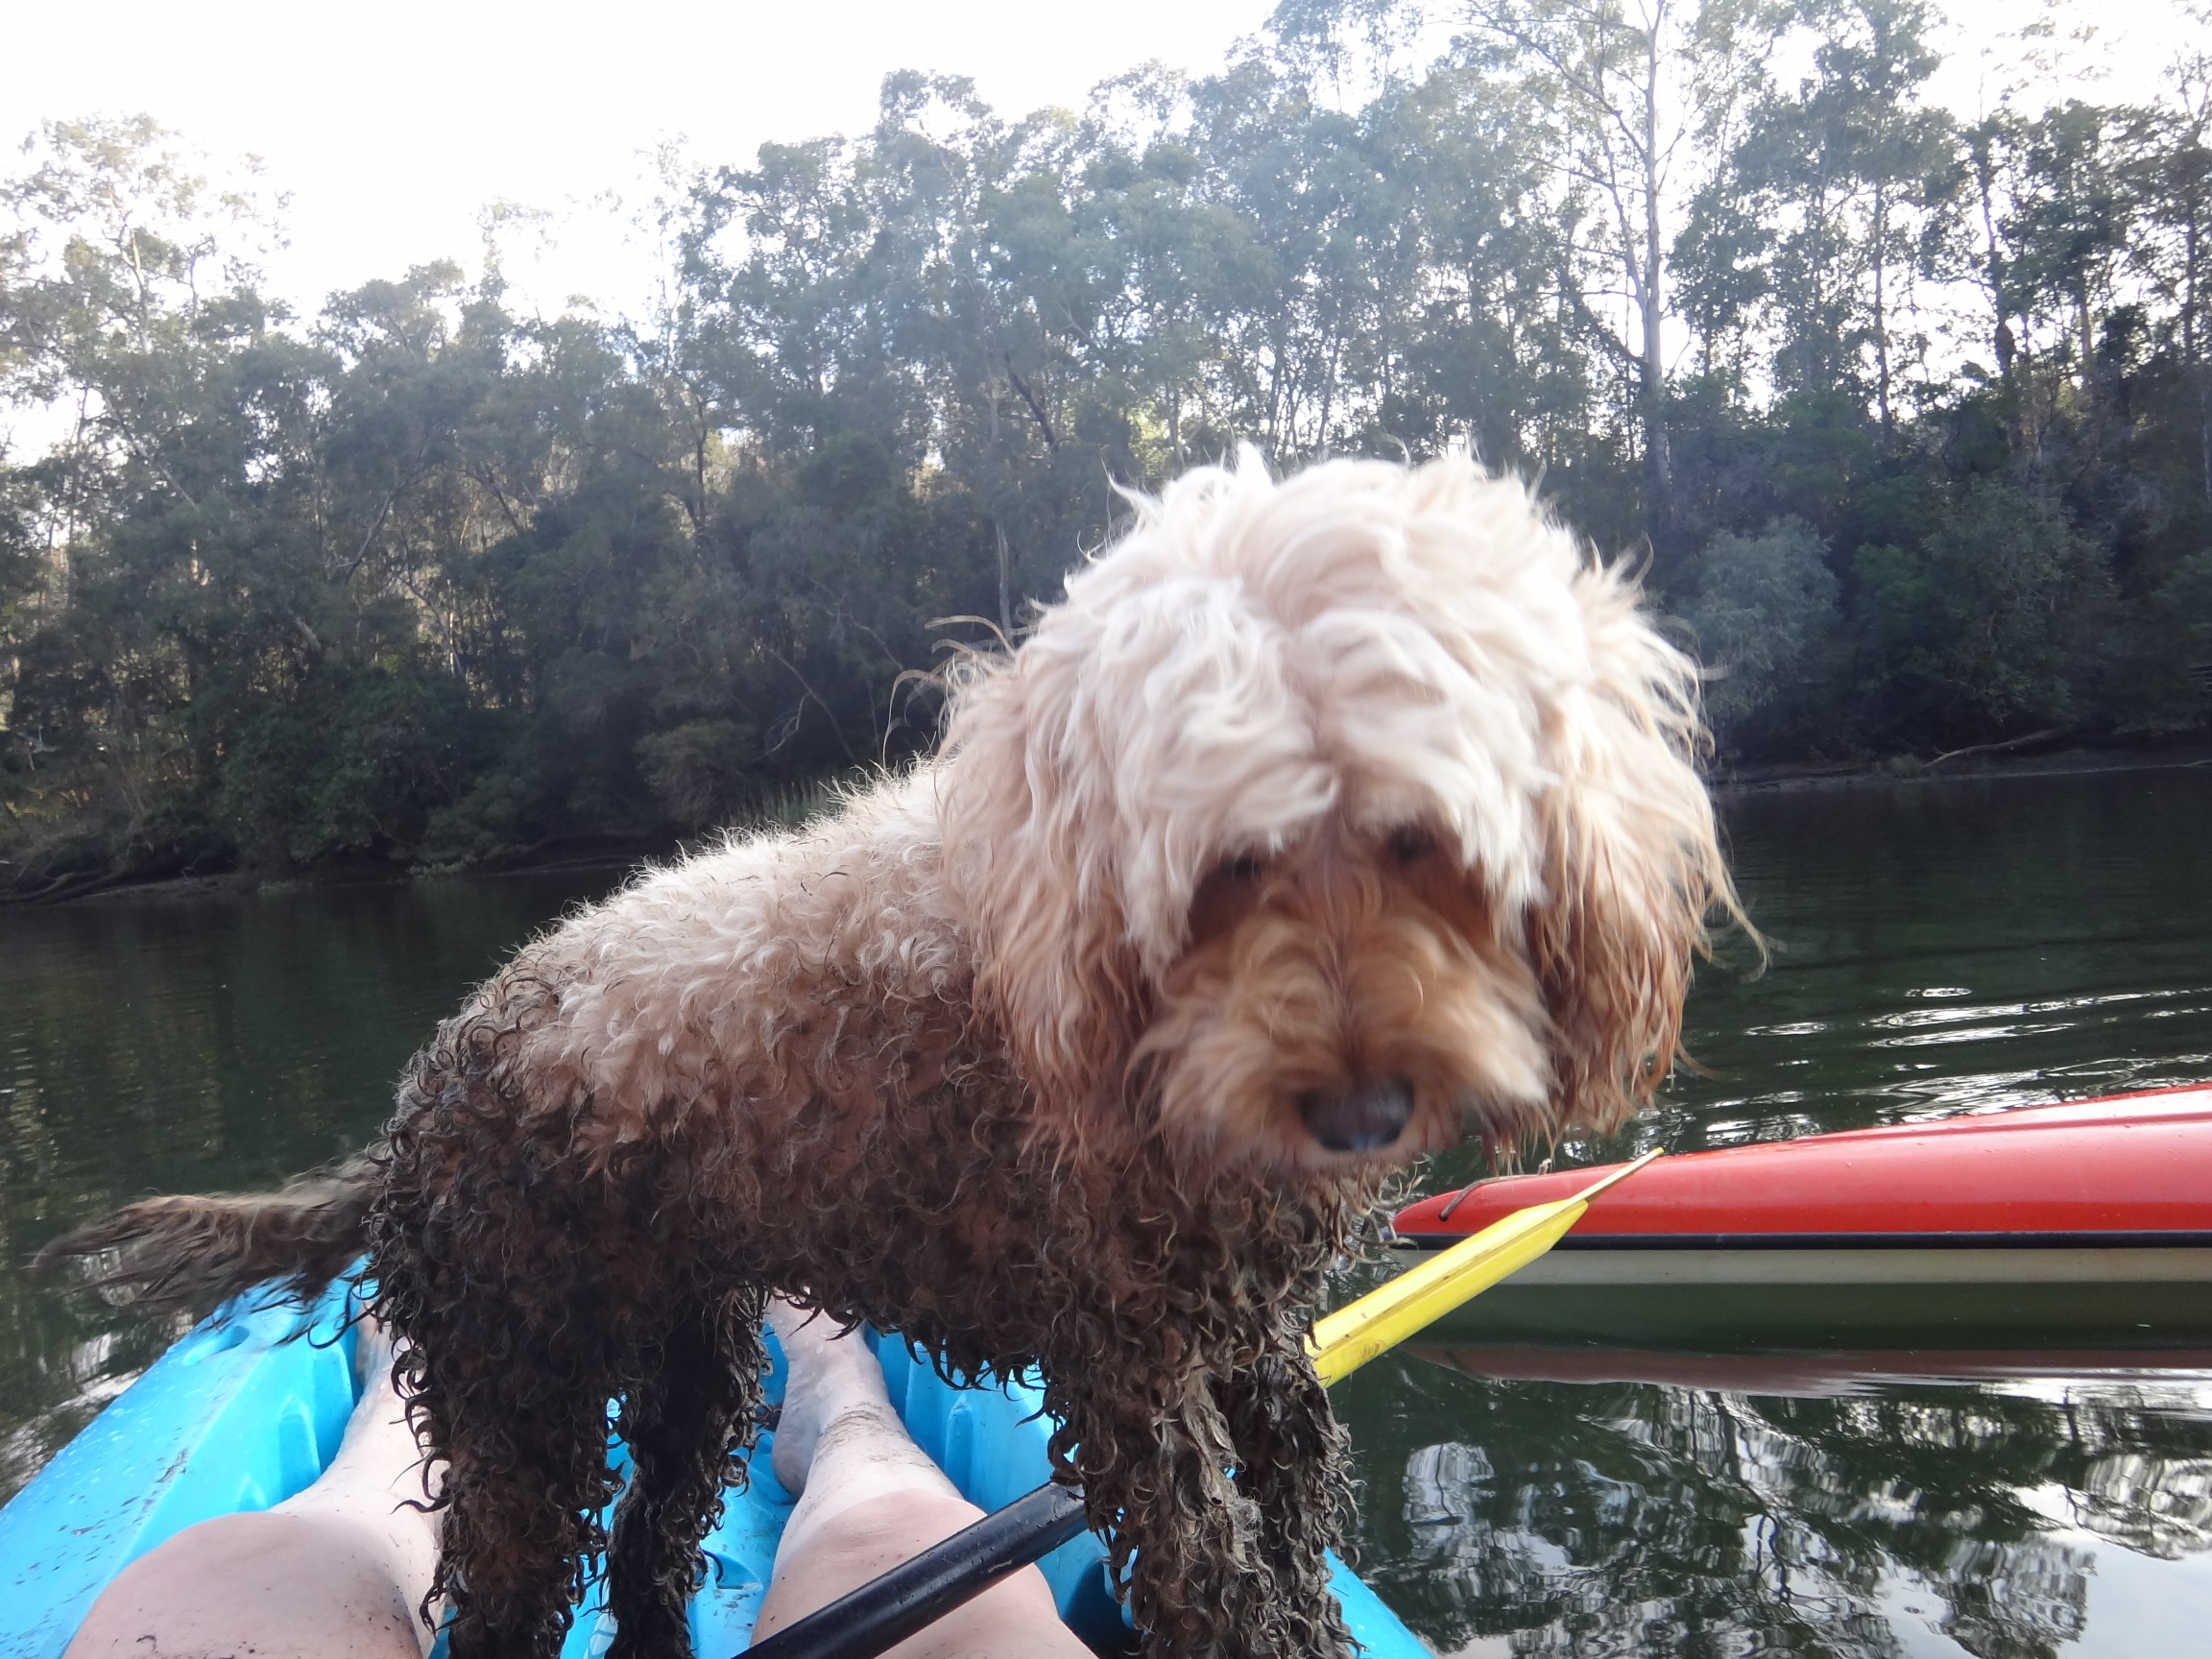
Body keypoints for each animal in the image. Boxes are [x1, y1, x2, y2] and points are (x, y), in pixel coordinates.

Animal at [43, 451, 1736, 1659]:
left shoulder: (1251, 1343)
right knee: (515, 1600)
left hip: (689, 1356)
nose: (1364, 1108)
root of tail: (424, 1086)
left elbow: (1297, 1558)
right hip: (519, 1382)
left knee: (651, 1559)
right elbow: (1223, 1592)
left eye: (1421, 838)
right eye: (1219, 863)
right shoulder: (1134, 1368)